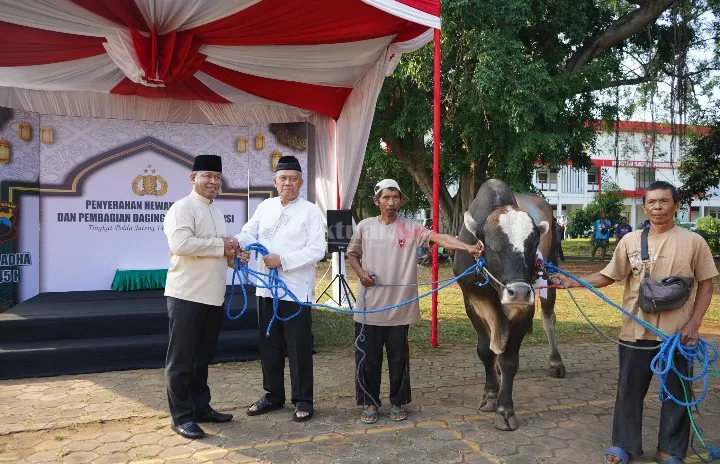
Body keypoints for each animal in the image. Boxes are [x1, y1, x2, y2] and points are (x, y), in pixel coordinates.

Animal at [452, 179, 564, 432]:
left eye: (532, 246)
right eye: (493, 247)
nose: (519, 292)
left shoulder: (525, 309)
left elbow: (510, 359)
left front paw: (504, 409)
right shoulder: (472, 302)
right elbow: (485, 351)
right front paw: (491, 394)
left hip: (549, 278)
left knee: (549, 319)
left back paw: (556, 362)